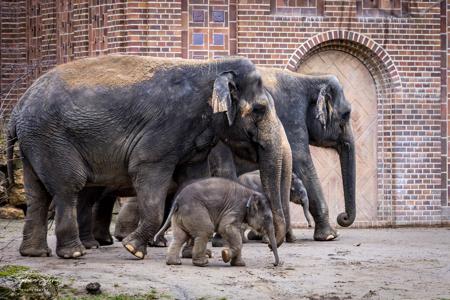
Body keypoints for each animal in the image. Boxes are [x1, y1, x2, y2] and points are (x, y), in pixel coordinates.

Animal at [7, 55, 296, 258]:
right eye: (259, 110)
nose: (269, 244)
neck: (211, 65)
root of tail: (18, 108)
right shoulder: (165, 128)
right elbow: (147, 171)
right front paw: (133, 249)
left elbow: (193, 179)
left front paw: (193, 253)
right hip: (52, 138)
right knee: (69, 186)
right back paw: (75, 253)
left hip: (35, 142)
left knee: (37, 193)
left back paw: (36, 253)